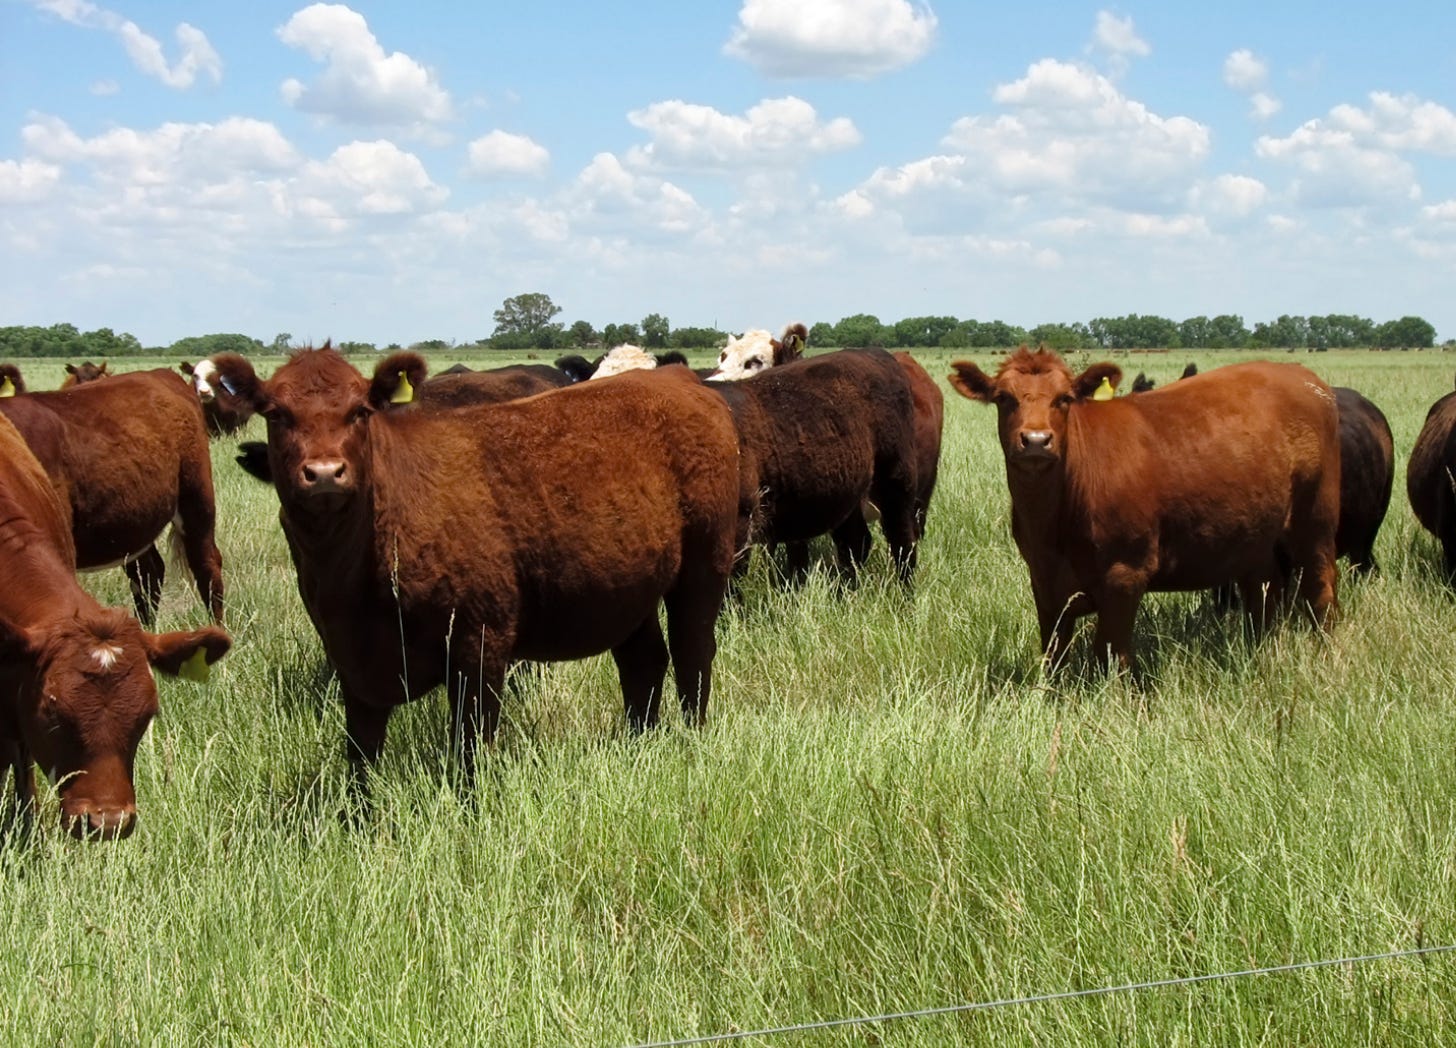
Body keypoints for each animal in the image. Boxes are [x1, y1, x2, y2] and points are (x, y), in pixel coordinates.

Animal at [211, 346, 741, 789]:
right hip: (627, 586)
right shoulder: (350, 657)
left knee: (692, 652)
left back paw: (691, 736)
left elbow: (469, 743)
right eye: (276, 414)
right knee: (643, 661)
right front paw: (356, 823)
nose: (324, 472)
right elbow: (360, 753)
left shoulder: (479, 639)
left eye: (361, 410)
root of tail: (677, 379)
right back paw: (639, 741)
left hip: (704, 565)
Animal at [948, 347, 1340, 670]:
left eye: (1065, 398)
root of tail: (1303, 376)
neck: (1053, 524)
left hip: (1315, 522)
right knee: (1263, 592)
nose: (1035, 440)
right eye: (1003, 398)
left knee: (1321, 590)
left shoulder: (1125, 574)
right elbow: (1053, 655)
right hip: (1255, 537)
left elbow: (1112, 655)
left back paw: (1326, 654)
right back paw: (1256, 650)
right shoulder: (1043, 581)